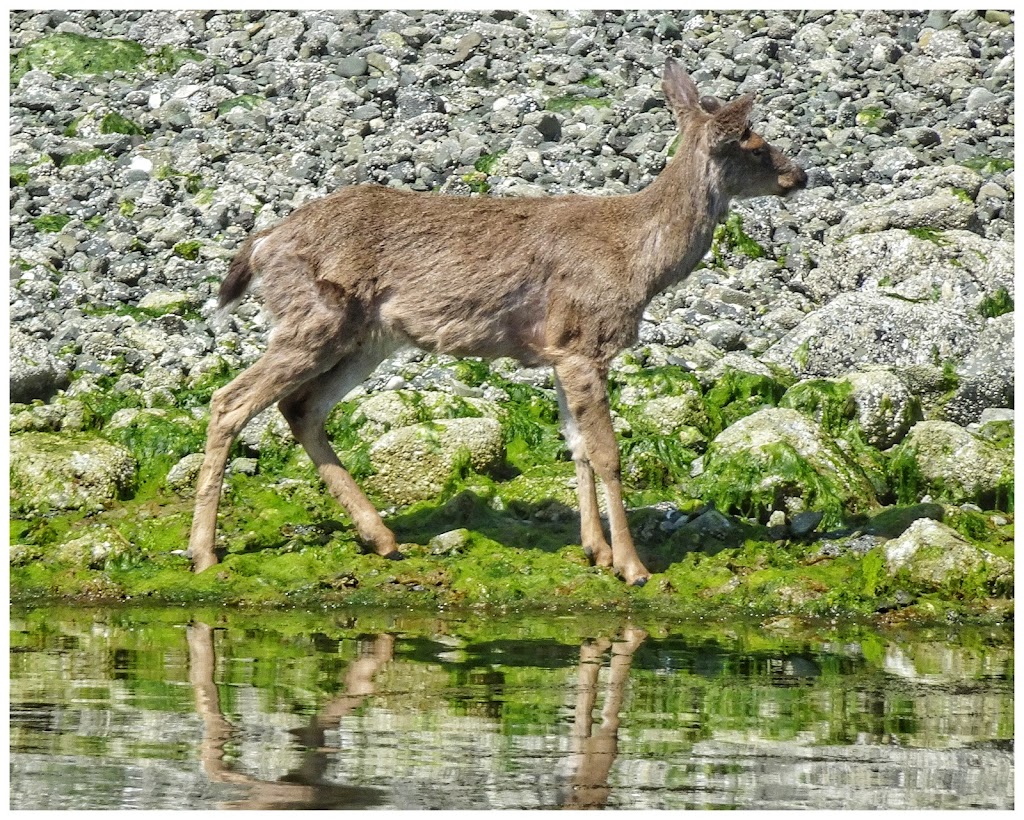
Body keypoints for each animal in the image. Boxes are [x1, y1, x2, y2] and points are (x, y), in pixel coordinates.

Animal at [188, 59, 802, 581]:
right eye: (755, 145)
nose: (799, 174)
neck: (639, 258)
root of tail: (263, 243)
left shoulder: (560, 351)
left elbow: (577, 446)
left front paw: (595, 550)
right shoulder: (585, 341)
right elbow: (607, 452)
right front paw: (632, 565)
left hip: (366, 339)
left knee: (302, 408)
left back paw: (382, 539)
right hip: (314, 318)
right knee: (229, 402)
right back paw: (203, 552)